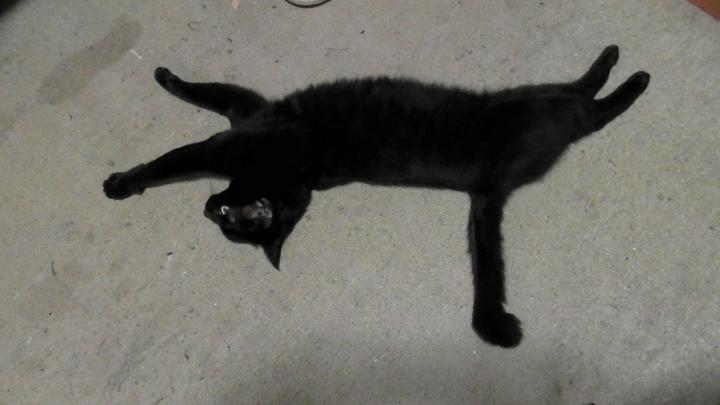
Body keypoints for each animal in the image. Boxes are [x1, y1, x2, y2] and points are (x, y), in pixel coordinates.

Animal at [103, 45, 649, 348]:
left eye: (223, 218)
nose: (203, 208)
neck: (287, 181)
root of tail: (485, 185)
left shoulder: (238, 128)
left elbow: (176, 152)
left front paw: (120, 182)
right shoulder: (245, 117)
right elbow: (198, 111)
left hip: (544, 112)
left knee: (591, 107)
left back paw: (631, 75)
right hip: (533, 100)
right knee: (580, 92)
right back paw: (616, 64)